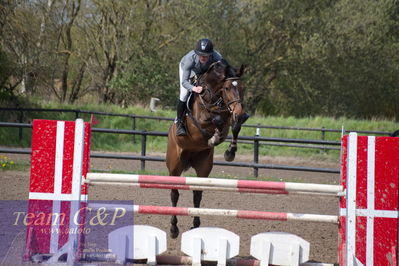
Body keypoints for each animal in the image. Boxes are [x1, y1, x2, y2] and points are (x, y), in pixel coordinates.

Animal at [166, 60, 247, 239]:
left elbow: (235, 126)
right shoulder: (200, 121)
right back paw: (174, 229)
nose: (240, 112)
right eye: (227, 88)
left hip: (203, 166)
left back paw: (196, 226)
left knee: (197, 194)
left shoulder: (230, 115)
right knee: (174, 194)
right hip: (174, 167)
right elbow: (215, 119)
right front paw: (214, 137)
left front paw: (230, 152)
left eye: (243, 87)